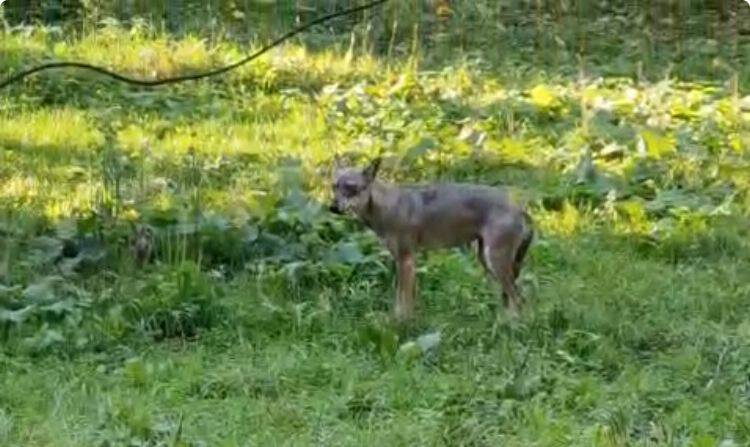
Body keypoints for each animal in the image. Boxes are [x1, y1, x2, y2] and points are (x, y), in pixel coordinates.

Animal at [328, 158, 536, 322]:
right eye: (334, 186)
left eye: (351, 188)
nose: (332, 207)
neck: (386, 206)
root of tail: (520, 208)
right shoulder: (403, 262)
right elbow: (403, 300)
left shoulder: (406, 260)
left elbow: (402, 301)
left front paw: (400, 324)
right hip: (487, 262)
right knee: (512, 298)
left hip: (495, 263)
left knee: (519, 299)